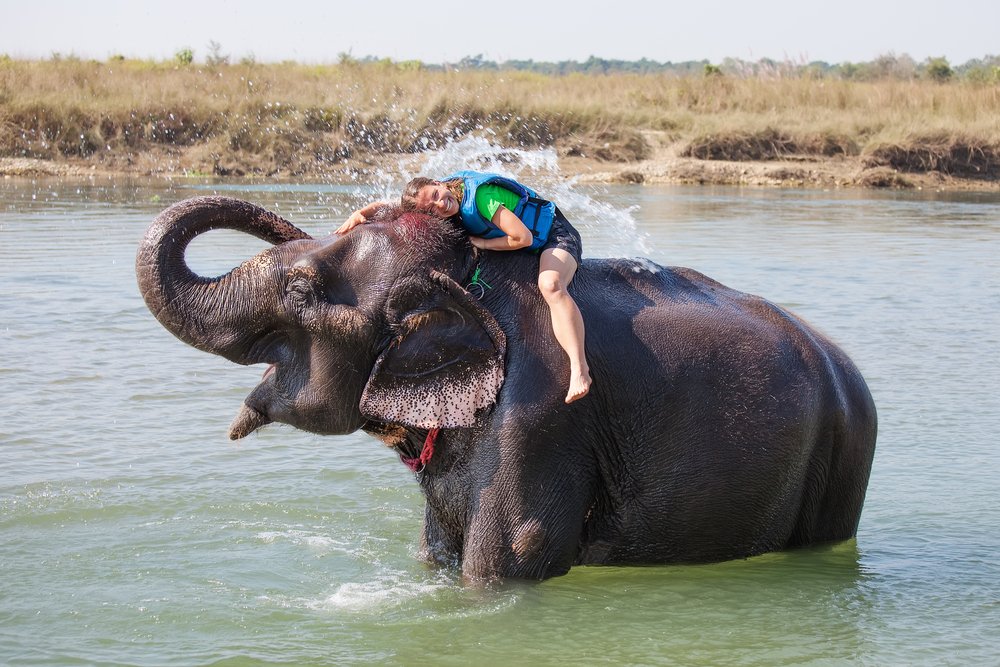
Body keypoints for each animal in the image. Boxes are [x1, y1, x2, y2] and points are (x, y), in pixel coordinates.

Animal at [136, 195, 877, 581]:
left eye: (302, 288)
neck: (471, 281)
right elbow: (437, 549)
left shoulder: (539, 423)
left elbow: (507, 561)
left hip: (844, 458)